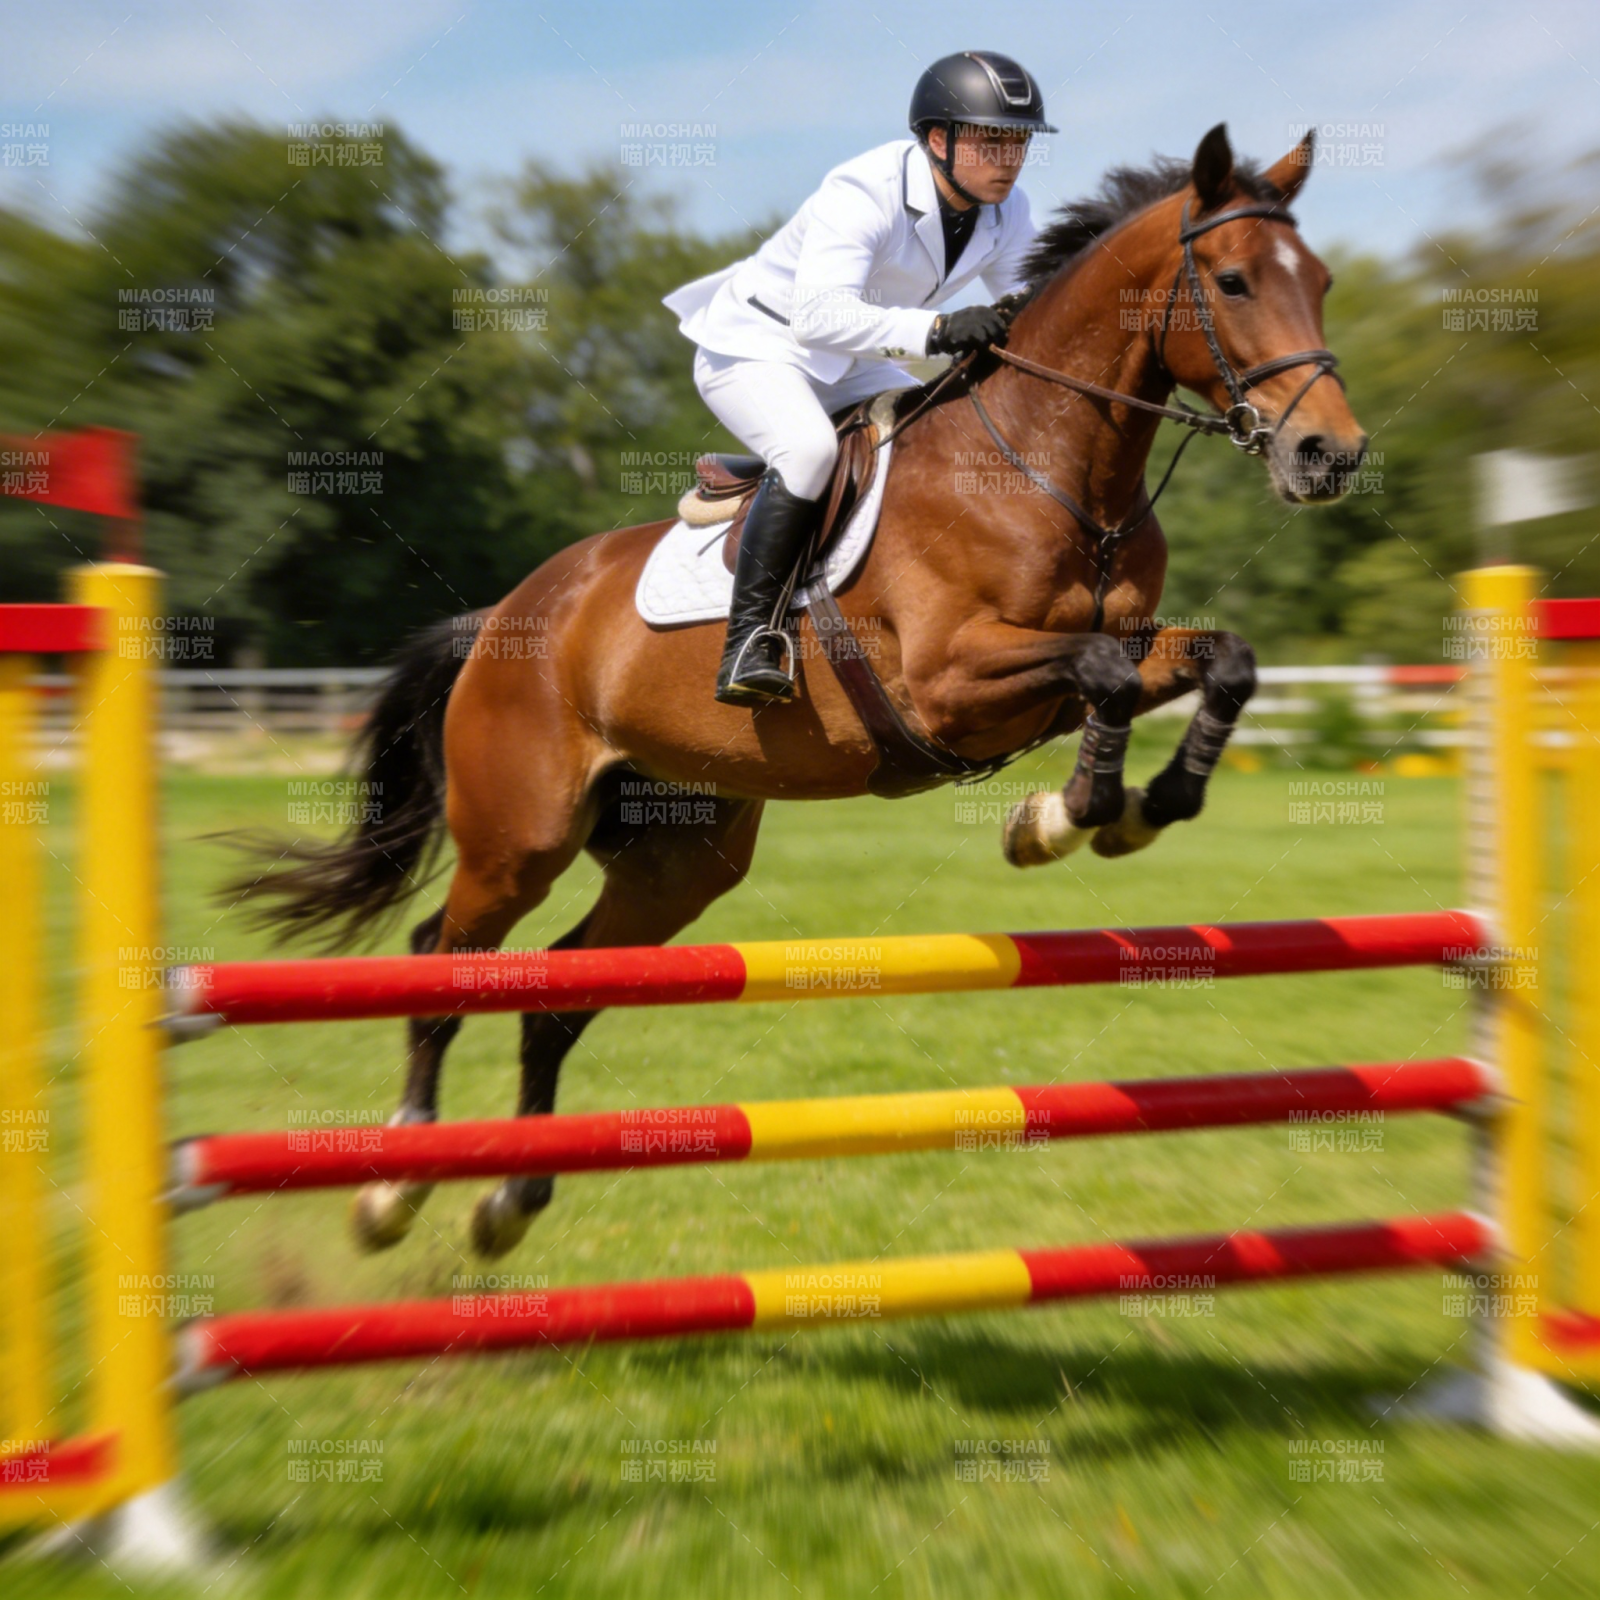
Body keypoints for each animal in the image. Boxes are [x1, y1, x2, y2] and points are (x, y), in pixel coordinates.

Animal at [224, 123, 1366, 1258]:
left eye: (1321, 280)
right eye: (1231, 280)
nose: (1331, 456)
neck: (1052, 466)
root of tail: (504, 616)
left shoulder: (1108, 645)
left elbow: (1217, 661)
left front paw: (1133, 808)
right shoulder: (948, 681)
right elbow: (1104, 675)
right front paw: (1067, 815)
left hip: (679, 859)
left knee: (561, 989)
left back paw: (510, 1196)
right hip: (521, 836)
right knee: (440, 958)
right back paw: (396, 1184)